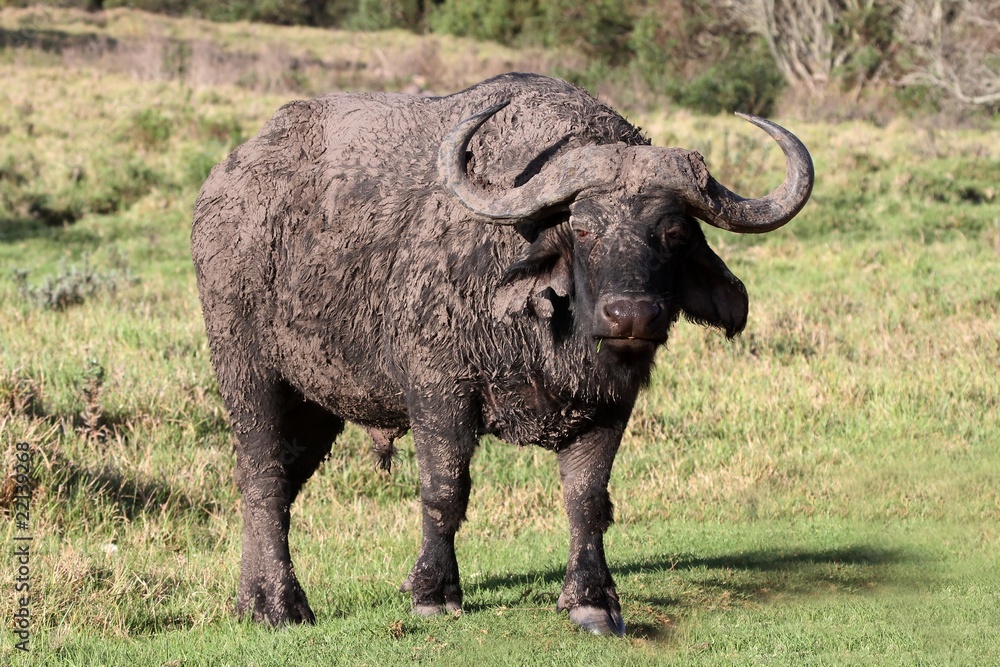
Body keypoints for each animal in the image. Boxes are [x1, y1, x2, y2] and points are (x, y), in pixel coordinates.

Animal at [191, 72, 813, 636]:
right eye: (583, 227)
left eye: (675, 232)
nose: (631, 316)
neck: (545, 332)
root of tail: (225, 184)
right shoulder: (438, 389)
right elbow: (444, 488)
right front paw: (432, 593)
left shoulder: (611, 403)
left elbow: (588, 499)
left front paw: (593, 602)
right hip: (248, 372)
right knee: (262, 476)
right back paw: (278, 605)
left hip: (317, 403)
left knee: (279, 486)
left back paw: (252, 597)